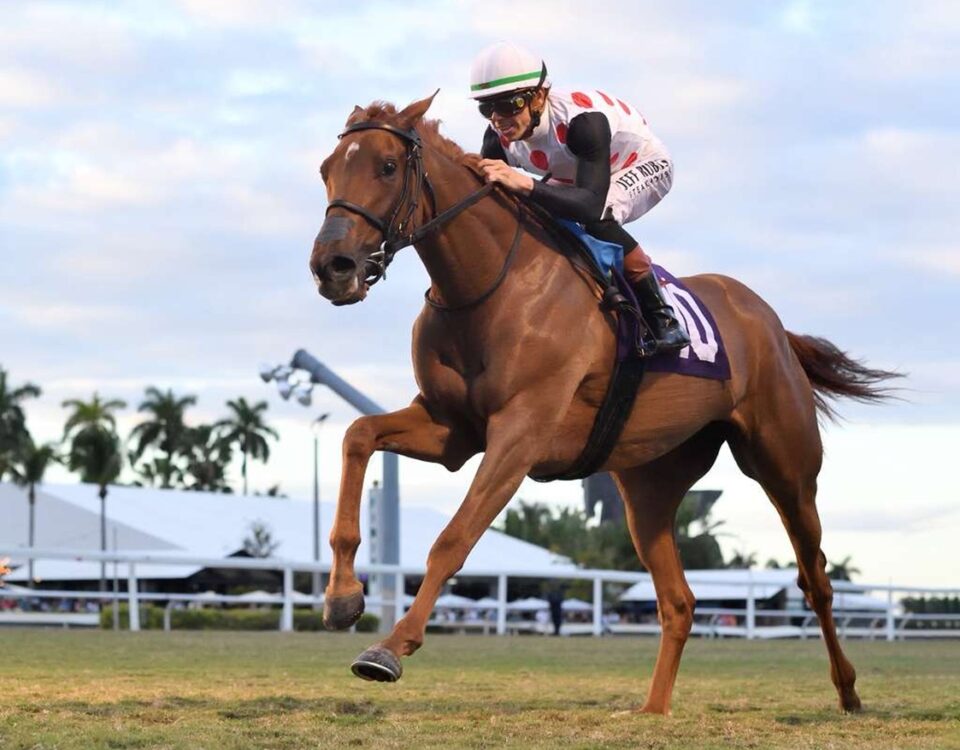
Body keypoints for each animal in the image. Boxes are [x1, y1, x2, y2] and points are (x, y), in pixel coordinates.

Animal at [309, 93, 898, 714]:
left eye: (387, 167)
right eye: (327, 169)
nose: (332, 267)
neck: (490, 285)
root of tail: (771, 323)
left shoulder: (520, 434)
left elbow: (453, 539)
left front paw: (390, 647)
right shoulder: (452, 430)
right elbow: (357, 435)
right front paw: (343, 598)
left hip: (786, 466)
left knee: (816, 579)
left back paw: (849, 691)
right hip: (648, 486)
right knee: (680, 601)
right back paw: (653, 708)